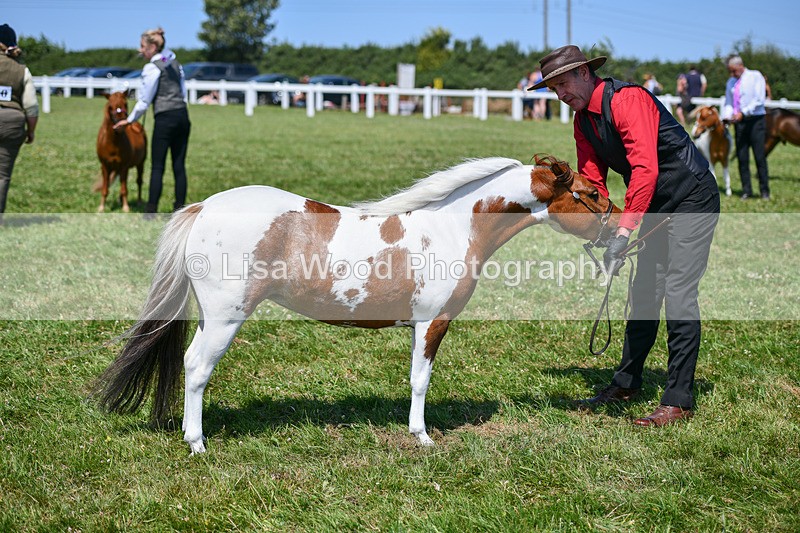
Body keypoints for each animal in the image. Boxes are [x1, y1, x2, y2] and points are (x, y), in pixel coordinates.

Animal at [94, 155, 620, 455]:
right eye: (591, 193)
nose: (621, 228)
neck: (452, 228)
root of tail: (204, 207)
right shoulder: (433, 322)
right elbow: (420, 380)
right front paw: (422, 438)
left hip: (211, 317)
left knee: (188, 362)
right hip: (226, 318)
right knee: (199, 368)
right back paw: (198, 445)